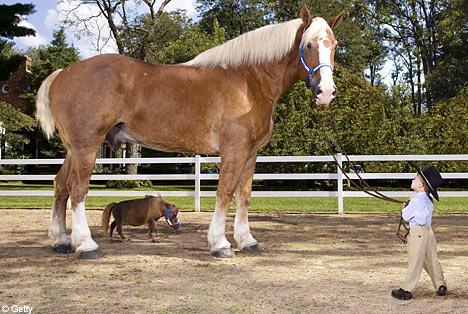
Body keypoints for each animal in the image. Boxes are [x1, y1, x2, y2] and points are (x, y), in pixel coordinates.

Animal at [35, 4, 344, 258]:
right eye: (308, 45)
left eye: (334, 45)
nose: (325, 92)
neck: (248, 82)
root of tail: (63, 74)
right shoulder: (234, 151)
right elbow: (225, 193)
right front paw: (220, 244)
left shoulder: (251, 154)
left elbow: (243, 196)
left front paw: (247, 241)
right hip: (86, 146)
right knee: (77, 189)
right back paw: (85, 245)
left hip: (73, 149)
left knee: (60, 186)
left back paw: (61, 241)